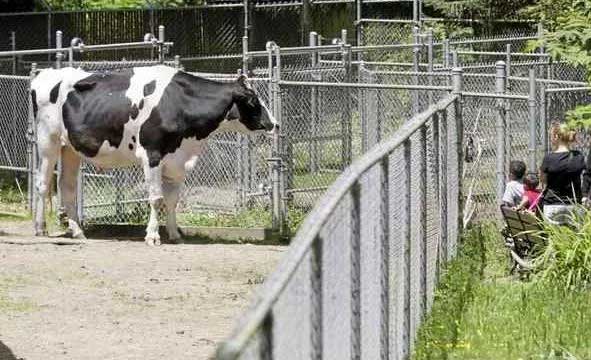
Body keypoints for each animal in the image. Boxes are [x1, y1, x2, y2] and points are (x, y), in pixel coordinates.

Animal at [33, 64, 278, 245]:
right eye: (253, 101)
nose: (274, 123)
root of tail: (45, 74)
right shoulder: (152, 154)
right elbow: (156, 198)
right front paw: (152, 236)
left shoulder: (177, 160)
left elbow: (172, 200)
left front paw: (175, 234)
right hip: (48, 141)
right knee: (42, 184)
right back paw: (40, 228)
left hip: (70, 148)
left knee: (66, 187)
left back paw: (78, 232)